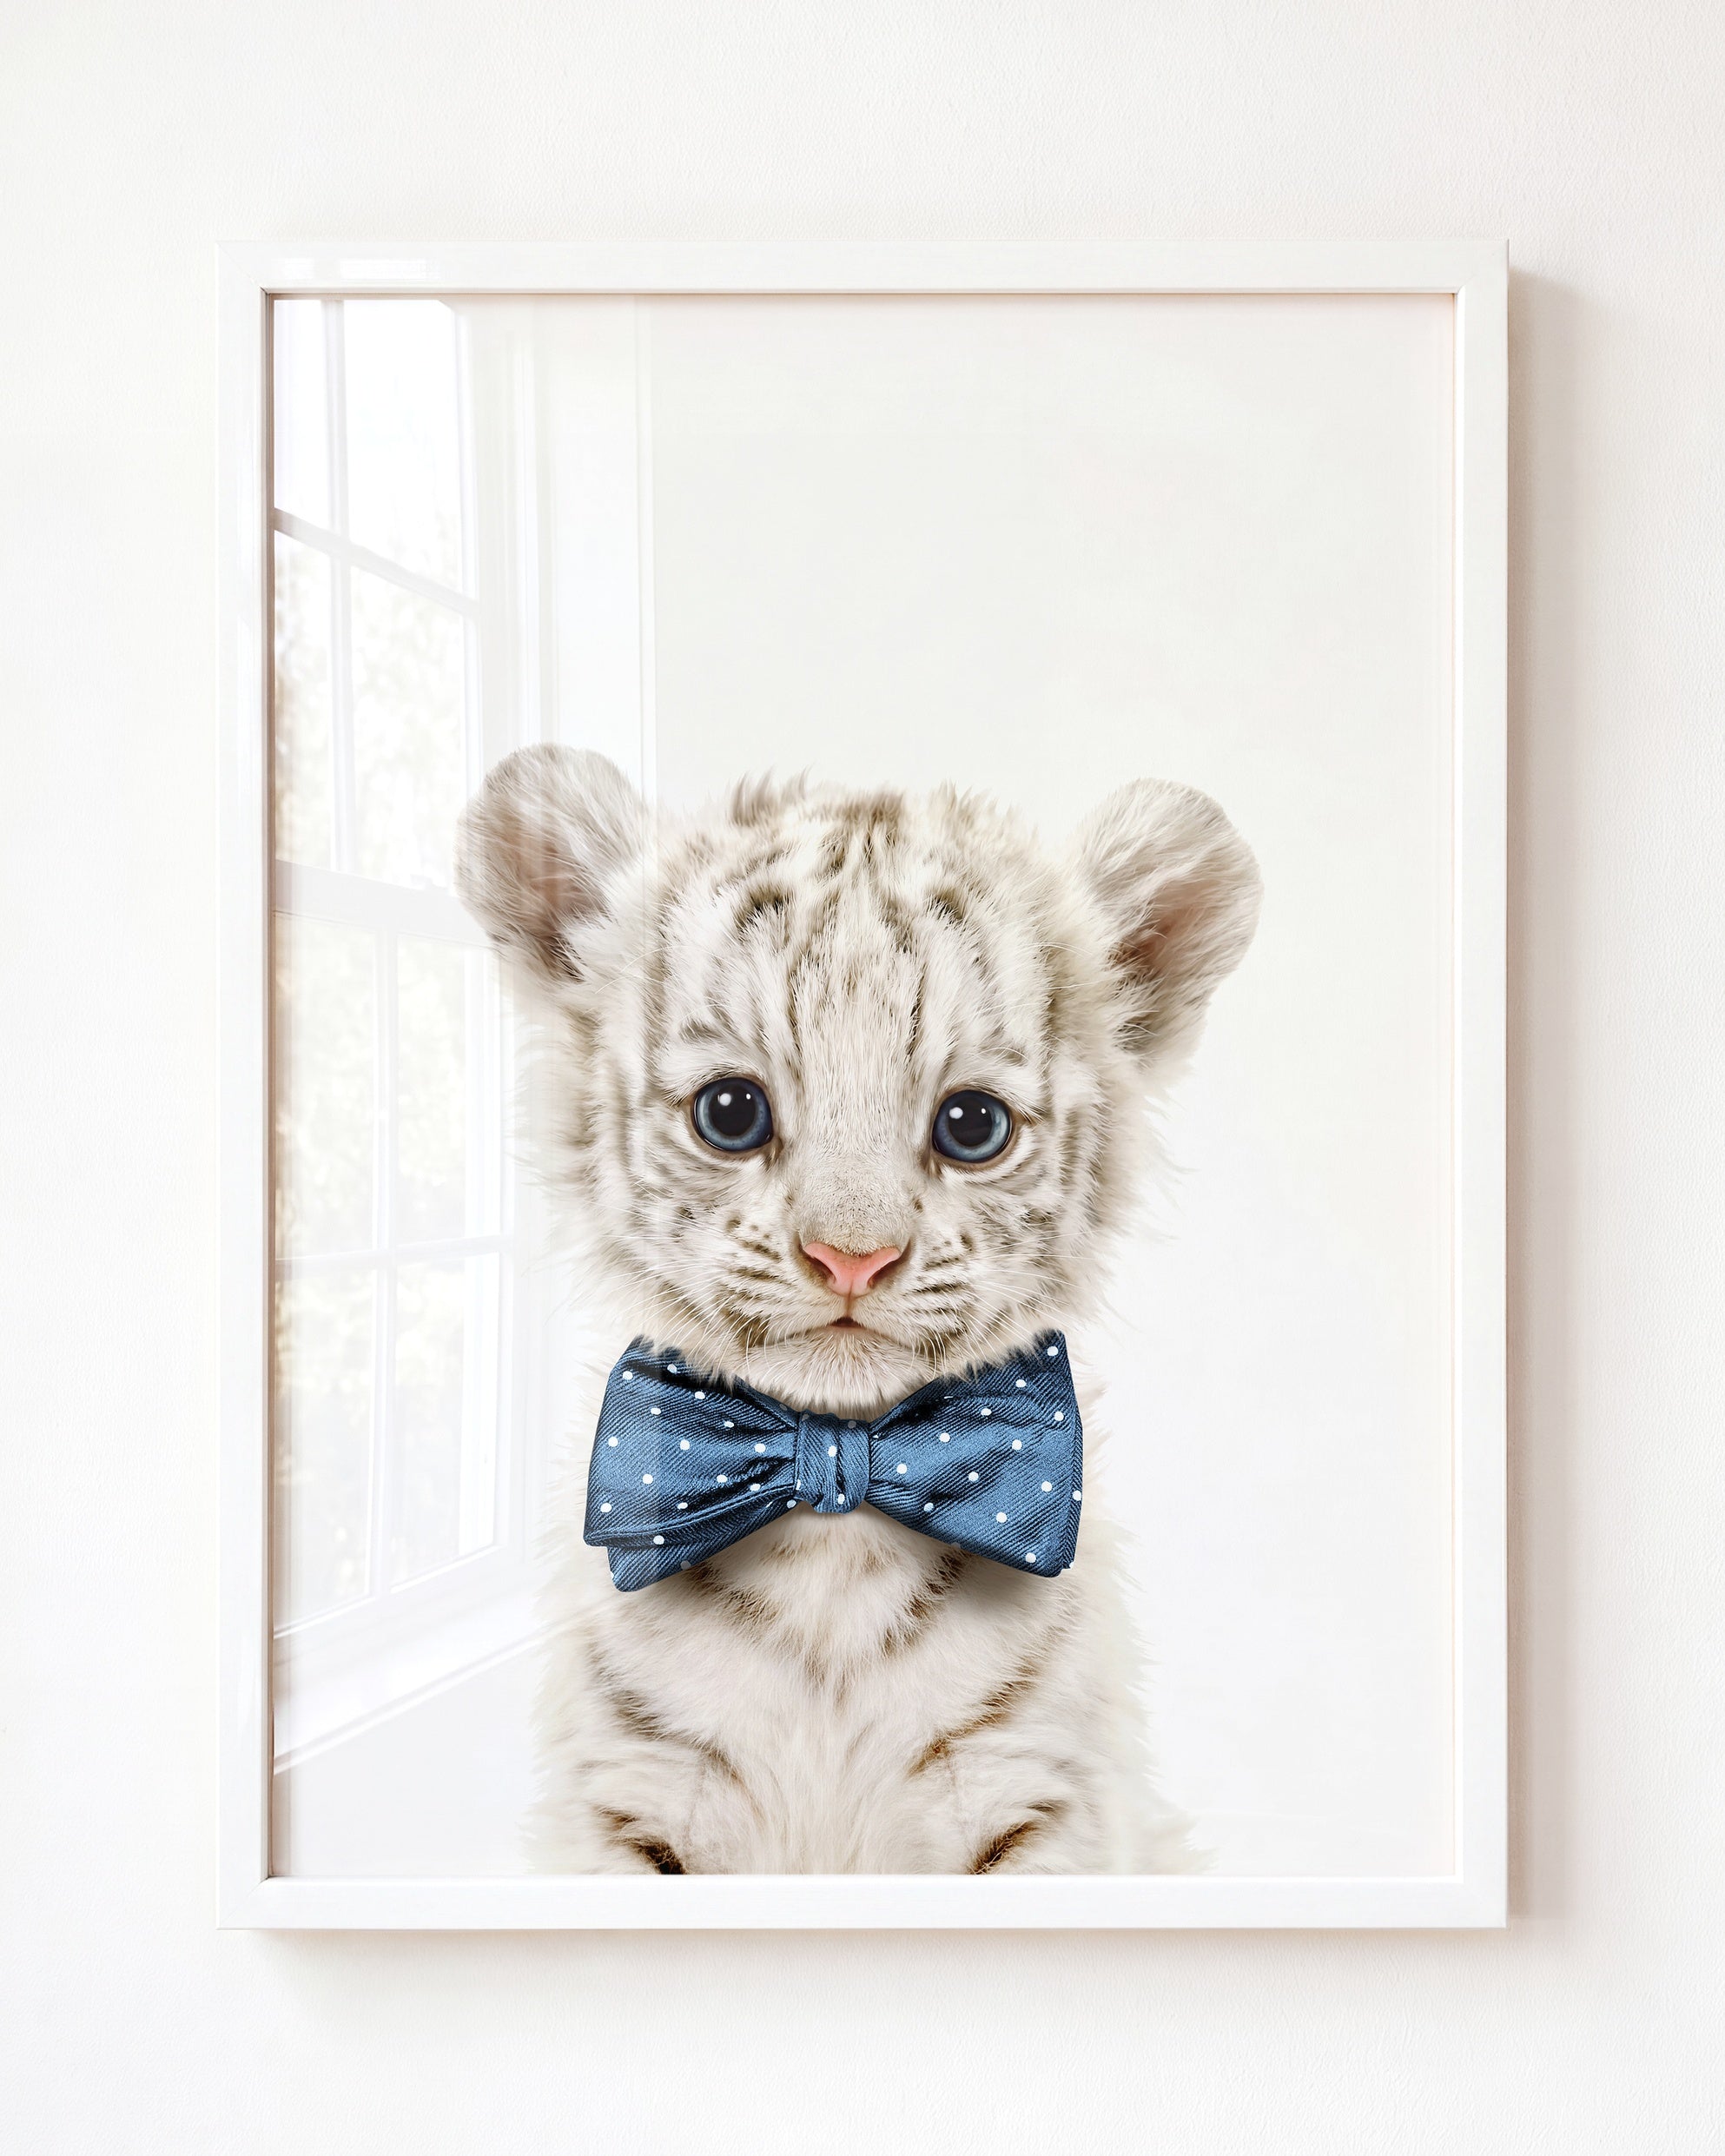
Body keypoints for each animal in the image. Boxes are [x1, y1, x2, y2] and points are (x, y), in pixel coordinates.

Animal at [456, 744, 1260, 1873]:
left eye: (973, 1125)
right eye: (730, 1112)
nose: (852, 1257)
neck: (833, 1524)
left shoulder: (1042, 1799)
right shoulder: (627, 1801)